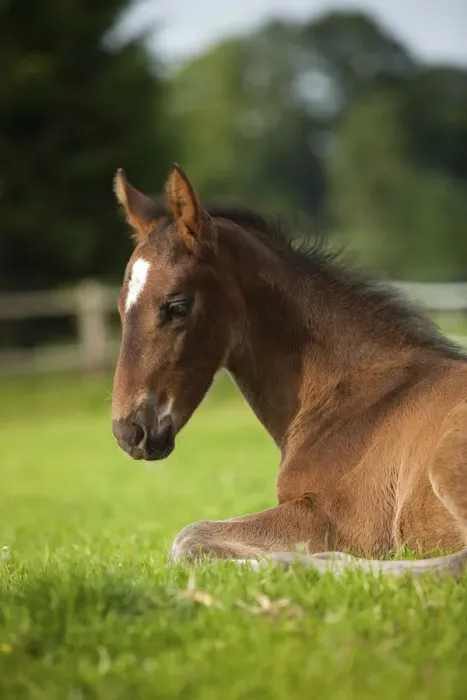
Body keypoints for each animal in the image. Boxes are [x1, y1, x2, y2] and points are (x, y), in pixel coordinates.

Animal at [111, 163, 467, 578]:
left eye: (177, 306)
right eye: (121, 306)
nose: (129, 432)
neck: (352, 397)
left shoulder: (342, 521)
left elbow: (188, 537)